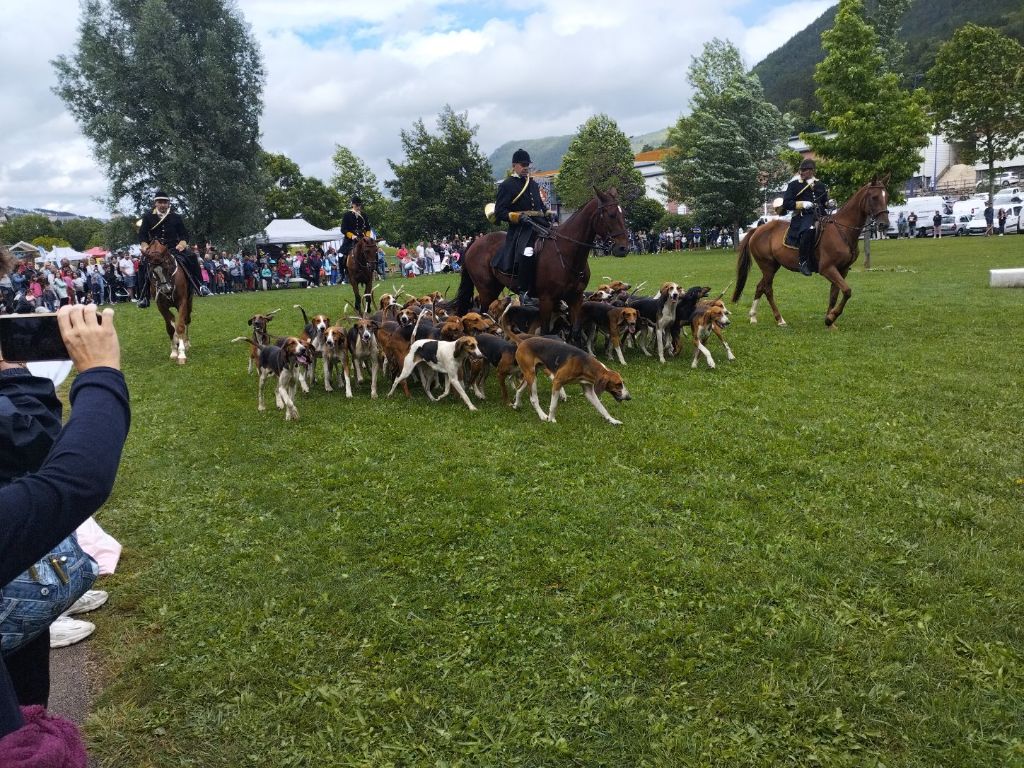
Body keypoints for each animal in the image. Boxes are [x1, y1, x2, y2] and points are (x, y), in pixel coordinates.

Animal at [458, 187, 630, 335]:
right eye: (611, 214)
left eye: (623, 214)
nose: (623, 248)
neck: (566, 253)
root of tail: (475, 243)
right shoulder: (546, 300)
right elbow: (546, 332)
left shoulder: (575, 298)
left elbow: (575, 332)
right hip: (487, 291)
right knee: (484, 314)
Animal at [733, 176, 892, 329]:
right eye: (874, 197)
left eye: (887, 197)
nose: (884, 225)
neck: (842, 230)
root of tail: (757, 229)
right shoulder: (827, 269)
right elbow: (847, 291)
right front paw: (831, 317)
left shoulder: (842, 269)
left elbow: (834, 295)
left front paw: (830, 321)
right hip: (768, 267)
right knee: (767, 289)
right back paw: (780, 319)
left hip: (773, 267)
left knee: (760, 287)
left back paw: (753, 317)